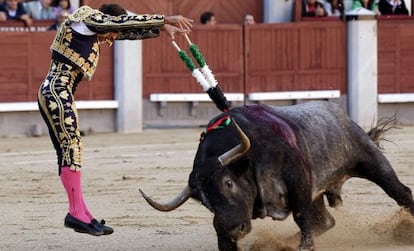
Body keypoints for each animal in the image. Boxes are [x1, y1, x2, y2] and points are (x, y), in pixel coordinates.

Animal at [139, 101, 414, 250]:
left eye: (228, 183)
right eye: (204, 202)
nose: (233, 229)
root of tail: (342, 115)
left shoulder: (298, 179)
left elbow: (302, 216)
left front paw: (305, 247)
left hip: (371, 162)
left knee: (401, 192)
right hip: (317, 191)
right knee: (325, 221)